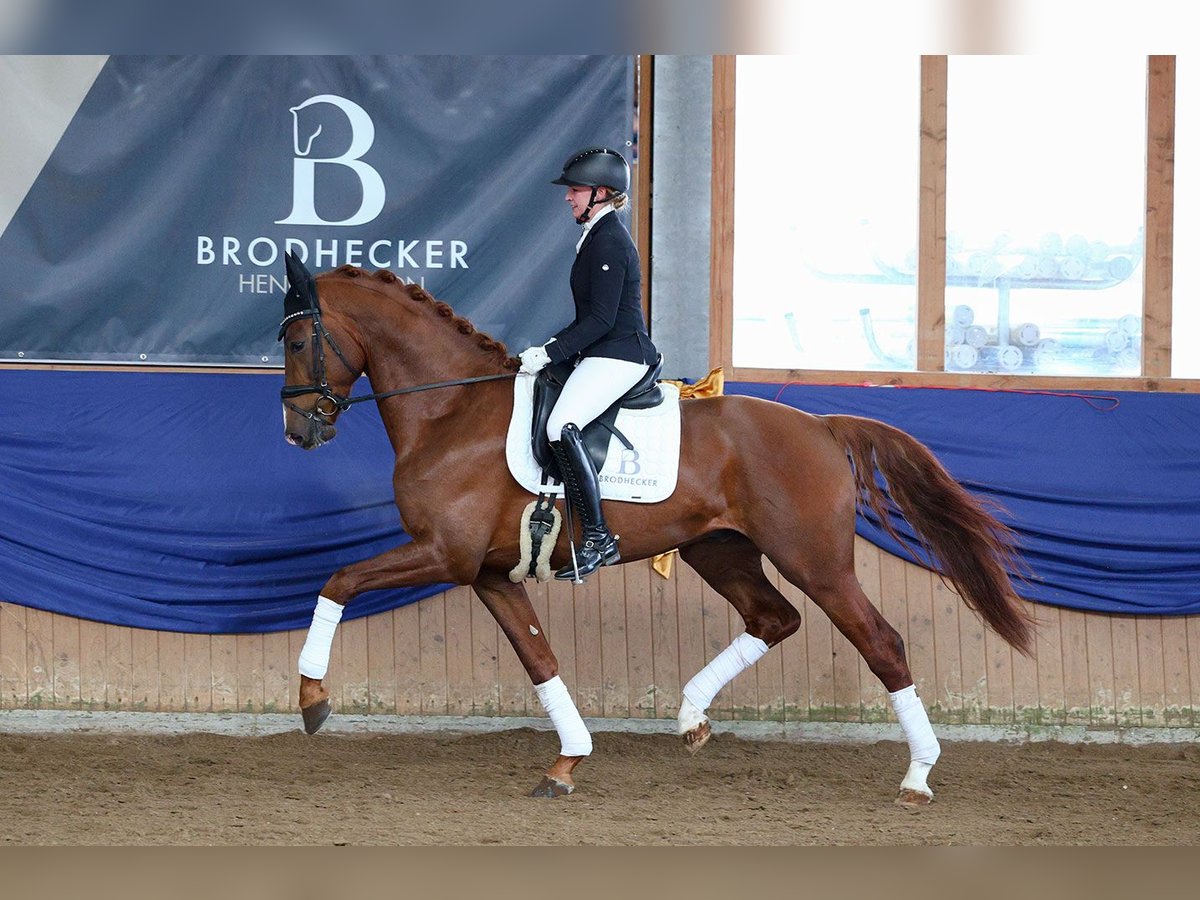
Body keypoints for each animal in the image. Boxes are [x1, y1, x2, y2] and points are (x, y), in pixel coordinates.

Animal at [278, 256, 1032, 806]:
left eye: (295, 339)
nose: (297, 430)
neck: (451, 412)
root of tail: (820, 426)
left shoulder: (443, 555)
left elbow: (338, 579)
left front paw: (313, 699)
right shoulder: (488, 573)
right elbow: (540, 659)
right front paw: (567, 762)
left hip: (816, 561)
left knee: (881, 642)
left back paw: (917, 778)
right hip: (717, 549)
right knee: (774, 617)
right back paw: (692, 716)